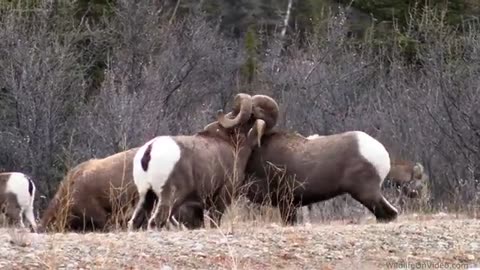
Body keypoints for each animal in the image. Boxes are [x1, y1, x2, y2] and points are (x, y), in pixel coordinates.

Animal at [128, 92, 278, 230]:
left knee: (136, 222)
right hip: (170, 198)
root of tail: (149, 150)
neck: (233, 143)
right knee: (156, 221)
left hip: (147, 196)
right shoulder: (222, 196)